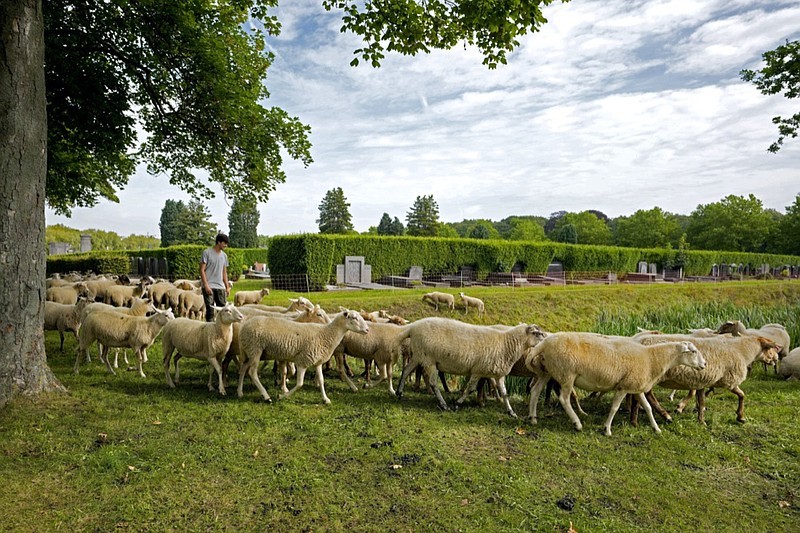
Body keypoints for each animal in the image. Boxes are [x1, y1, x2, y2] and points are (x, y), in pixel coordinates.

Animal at [233, 308, 368, 404]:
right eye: (354, 318)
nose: (367, 330)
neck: (326, 334)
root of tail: (245, 325)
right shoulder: (303, 361)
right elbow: (299, 384)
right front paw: (281, 396)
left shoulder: (317, 362)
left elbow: (321, 380)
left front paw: (325, 399)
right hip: (255, 349)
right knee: (252, 372)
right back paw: (266, 396)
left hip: (250, 351)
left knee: (243, 369)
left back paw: (239, 392)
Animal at [392, 316, 544, 416]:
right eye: (536, 333)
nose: (545, 342)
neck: (506, 344)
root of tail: (413, 327)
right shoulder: (478, 370)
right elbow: (470, 389)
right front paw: (457, 404)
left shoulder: (499, 374)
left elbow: (505, 393)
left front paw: (511, 412)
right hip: (429, 359)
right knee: (433, 383)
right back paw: (444, 405)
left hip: (419, 355)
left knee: (406, 370)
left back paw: (399, 392)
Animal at [524, 334, 708, 434]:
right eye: (693, 351)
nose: (705, 364)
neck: (652, 359)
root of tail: (543, 344)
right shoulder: (623, 387)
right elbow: (614, 407)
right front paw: (607, 429)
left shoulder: (636, 386)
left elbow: (648, 407)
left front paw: (656, 428)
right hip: (566, 373)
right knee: (564, 399)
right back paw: (577, 423)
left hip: (547, 371)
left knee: (535, 391)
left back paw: (533, 418)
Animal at [636, 332, 780, 424]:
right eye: (770, 349)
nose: (777, 359)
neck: (742, 351)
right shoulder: (730, 380)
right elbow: (742, 395)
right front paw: (740, 416)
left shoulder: (702, 380)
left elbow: (701, 399)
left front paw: (699, 418)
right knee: (649, 395)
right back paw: (665, 415)